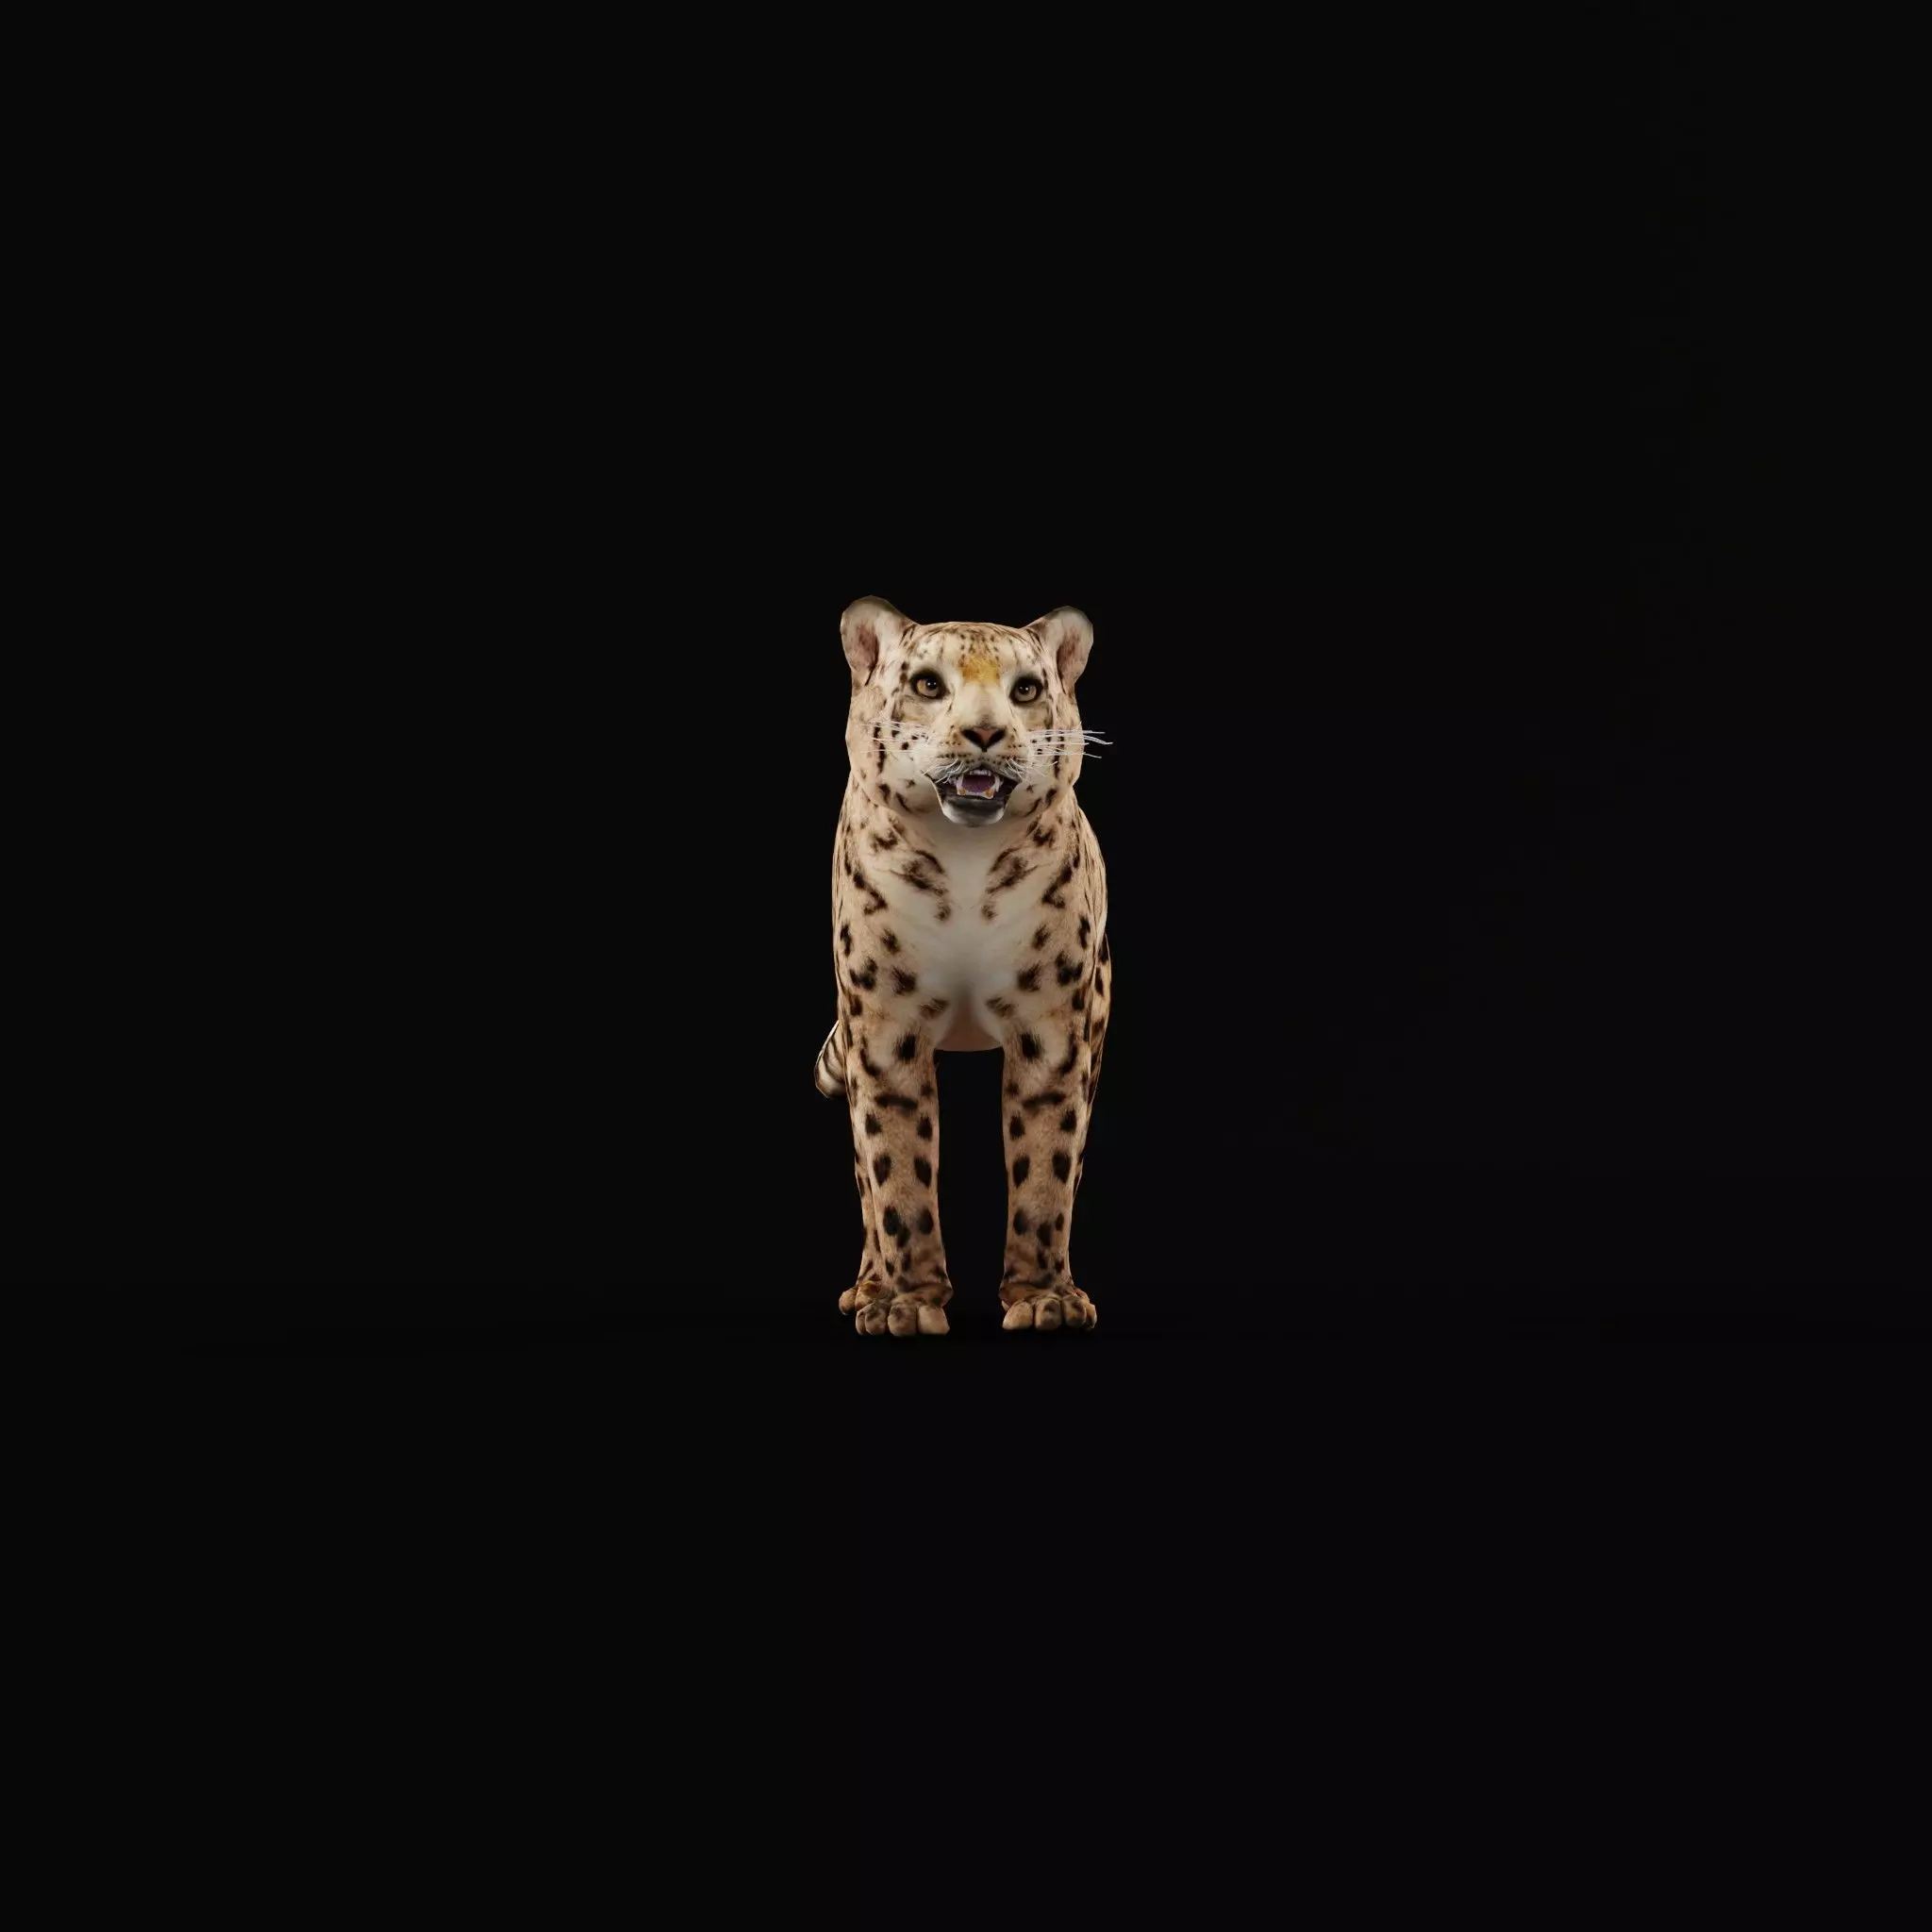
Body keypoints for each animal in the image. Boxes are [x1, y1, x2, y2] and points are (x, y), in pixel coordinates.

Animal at [815, 597, 1112, 1337]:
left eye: (1026, 690)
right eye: (928, 684)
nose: (984, 732)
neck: (966, 865)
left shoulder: (1054, 1029)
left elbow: (1046, 1167)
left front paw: (1046, 1300)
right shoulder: (884, 1028)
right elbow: (895, 1171)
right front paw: (905, 1303)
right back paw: (867, 1285)